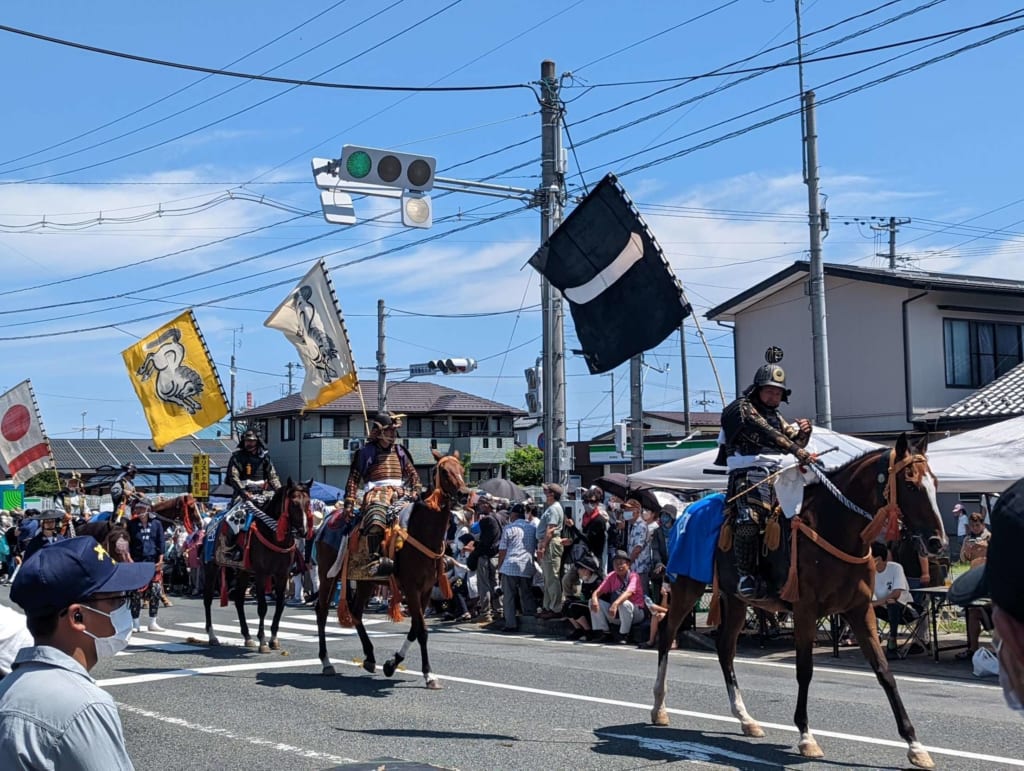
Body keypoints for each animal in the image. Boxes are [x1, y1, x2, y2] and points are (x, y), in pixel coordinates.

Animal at [200, 479, 309, 651]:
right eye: (294, 503)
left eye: (308, 503)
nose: (303, 531)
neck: (274, 536)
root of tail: (211, 522)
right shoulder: (261, 573)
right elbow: (262, 607)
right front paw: (263, 641)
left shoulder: (282, 574)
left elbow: (280, 604)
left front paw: (273, 639)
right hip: (211, 566)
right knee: (208, 599)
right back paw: (212, 636)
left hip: (243, 571)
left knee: (238, 599)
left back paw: (247, 636)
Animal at [313, 444, 468, 683]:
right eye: (444, 471)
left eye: (461, 469)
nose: (464, 494)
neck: (421, 531)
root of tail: (328, 519)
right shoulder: (412, 588)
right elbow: (421, 629)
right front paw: (428, 673)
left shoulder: (425, 589)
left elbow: (415, 628)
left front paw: (391, 664)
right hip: (327, 575)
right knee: (321, 612)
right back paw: (327, 661)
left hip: (365, 580)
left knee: (356, 612)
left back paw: (369, 657)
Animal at [651, 436, 946, 765]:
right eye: (910, 484)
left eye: (934, 483)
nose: (937, 542)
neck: (837, 529)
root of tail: (687, 509)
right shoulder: (806, 609)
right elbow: (805, 670)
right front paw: (806, 736)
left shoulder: (859, 610)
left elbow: (884, 672)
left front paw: (915, 745)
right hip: (686, 584)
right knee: (667, 632)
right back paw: (659, 707)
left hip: (736, 599)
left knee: (725, 648)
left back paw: (745, 719)